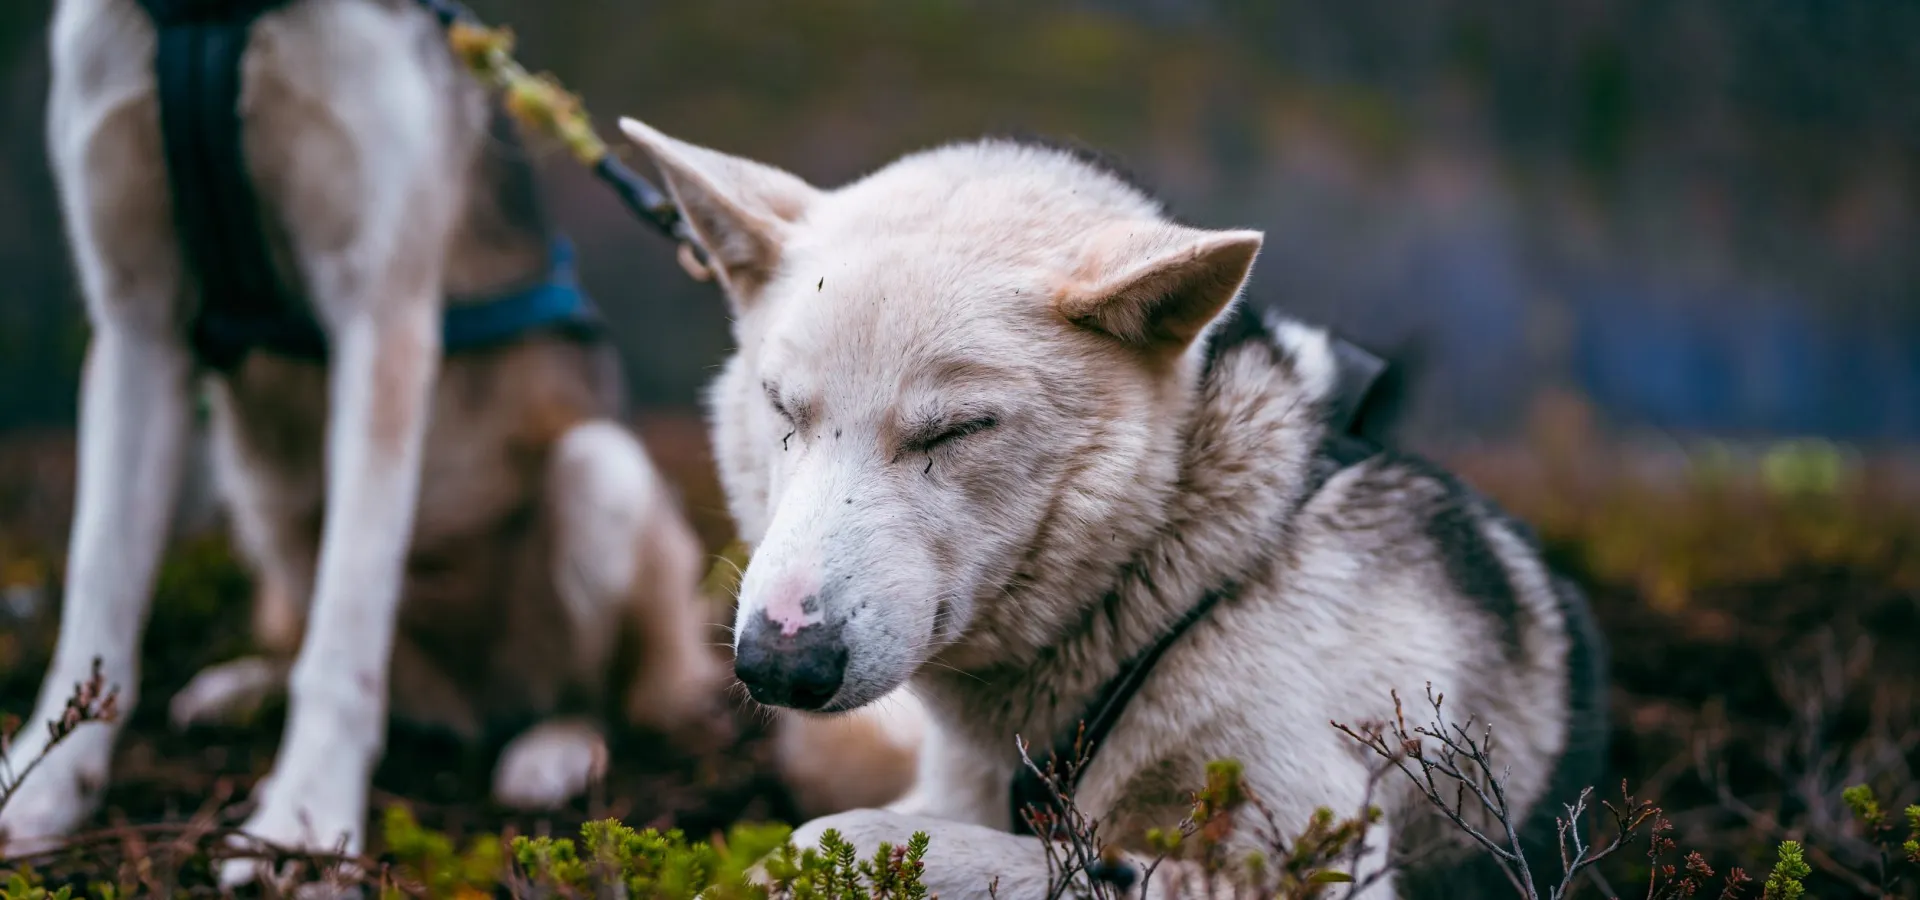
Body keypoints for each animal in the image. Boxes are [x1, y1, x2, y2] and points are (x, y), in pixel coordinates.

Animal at [0, 0, 921, 875]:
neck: (218, 16)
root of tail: (455, 707)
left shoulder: (382, 314)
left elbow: (346, 622)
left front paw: (300, 821)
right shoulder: (134, 320)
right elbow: (98, 596)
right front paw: (45, 788)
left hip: (603, 474)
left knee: (583, 689)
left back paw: (552, 747)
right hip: (258, 510)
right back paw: (244, 686)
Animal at [614, 120, 1605, 898]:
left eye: (957, 429)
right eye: (781, 408)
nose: (779, 665)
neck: (1191, 583)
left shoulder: (1305, 861)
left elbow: (850, 840)